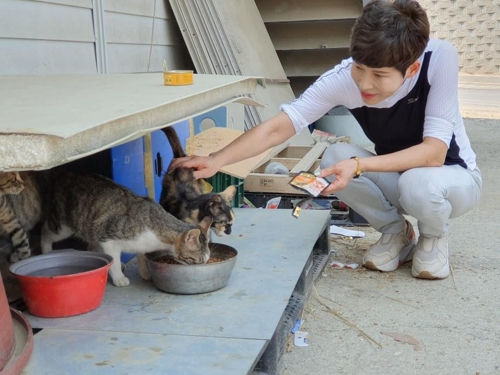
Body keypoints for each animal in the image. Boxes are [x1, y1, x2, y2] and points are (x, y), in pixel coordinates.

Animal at [39, 173, 211, 288]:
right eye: (199, 261)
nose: (203, 267)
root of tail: (65, 174)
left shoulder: (141, 244)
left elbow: (141, 256)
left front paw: (145, 273)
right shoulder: (108, 238)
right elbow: (113, 259)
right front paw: (118, 277)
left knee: (91, 245)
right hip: (63, 226)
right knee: (45, 233)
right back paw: (46, 251)